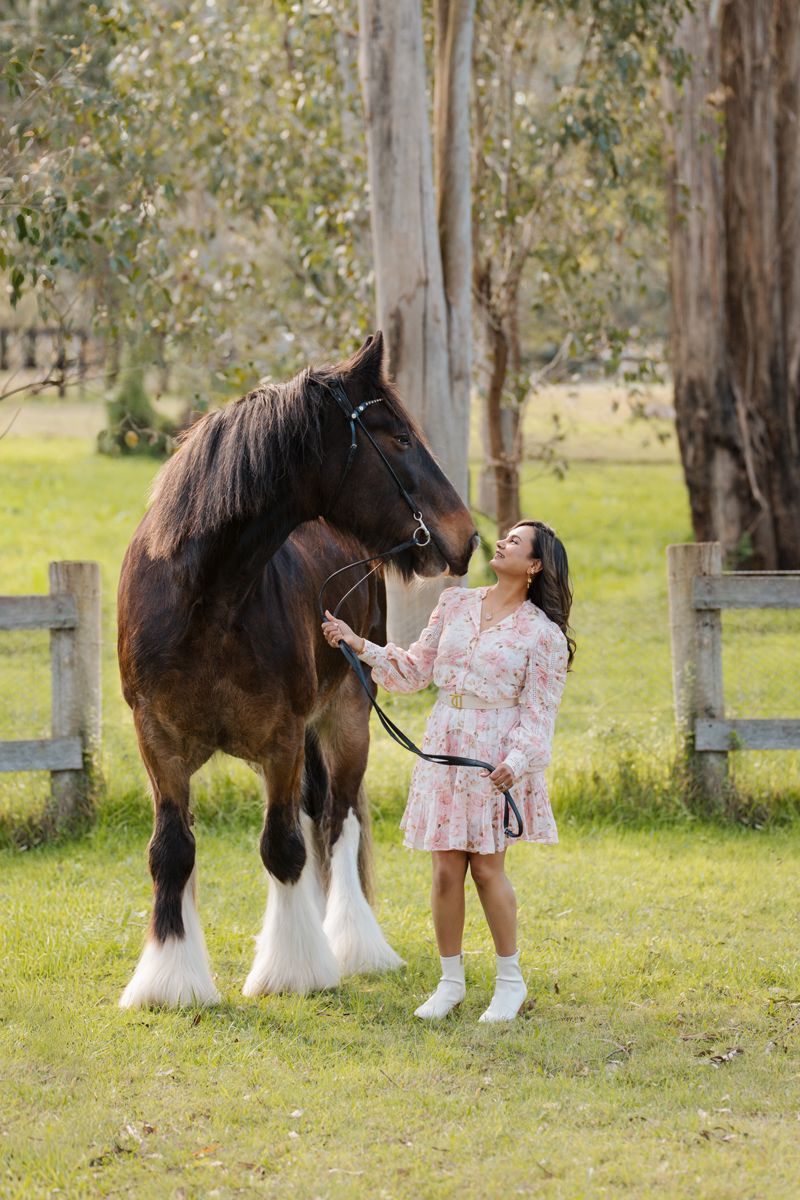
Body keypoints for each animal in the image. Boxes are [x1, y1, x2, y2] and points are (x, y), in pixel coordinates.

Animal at [117, 332, 477, 1006]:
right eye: (400, 439)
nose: (465, 535)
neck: (204, 601)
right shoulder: (158, 744)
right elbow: (172, 852)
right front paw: (171, 980)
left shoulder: (281, 739)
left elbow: (282, 848)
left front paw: (293, 971)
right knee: (317, 819)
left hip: (346, 719)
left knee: (337, 821)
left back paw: (352, 945)